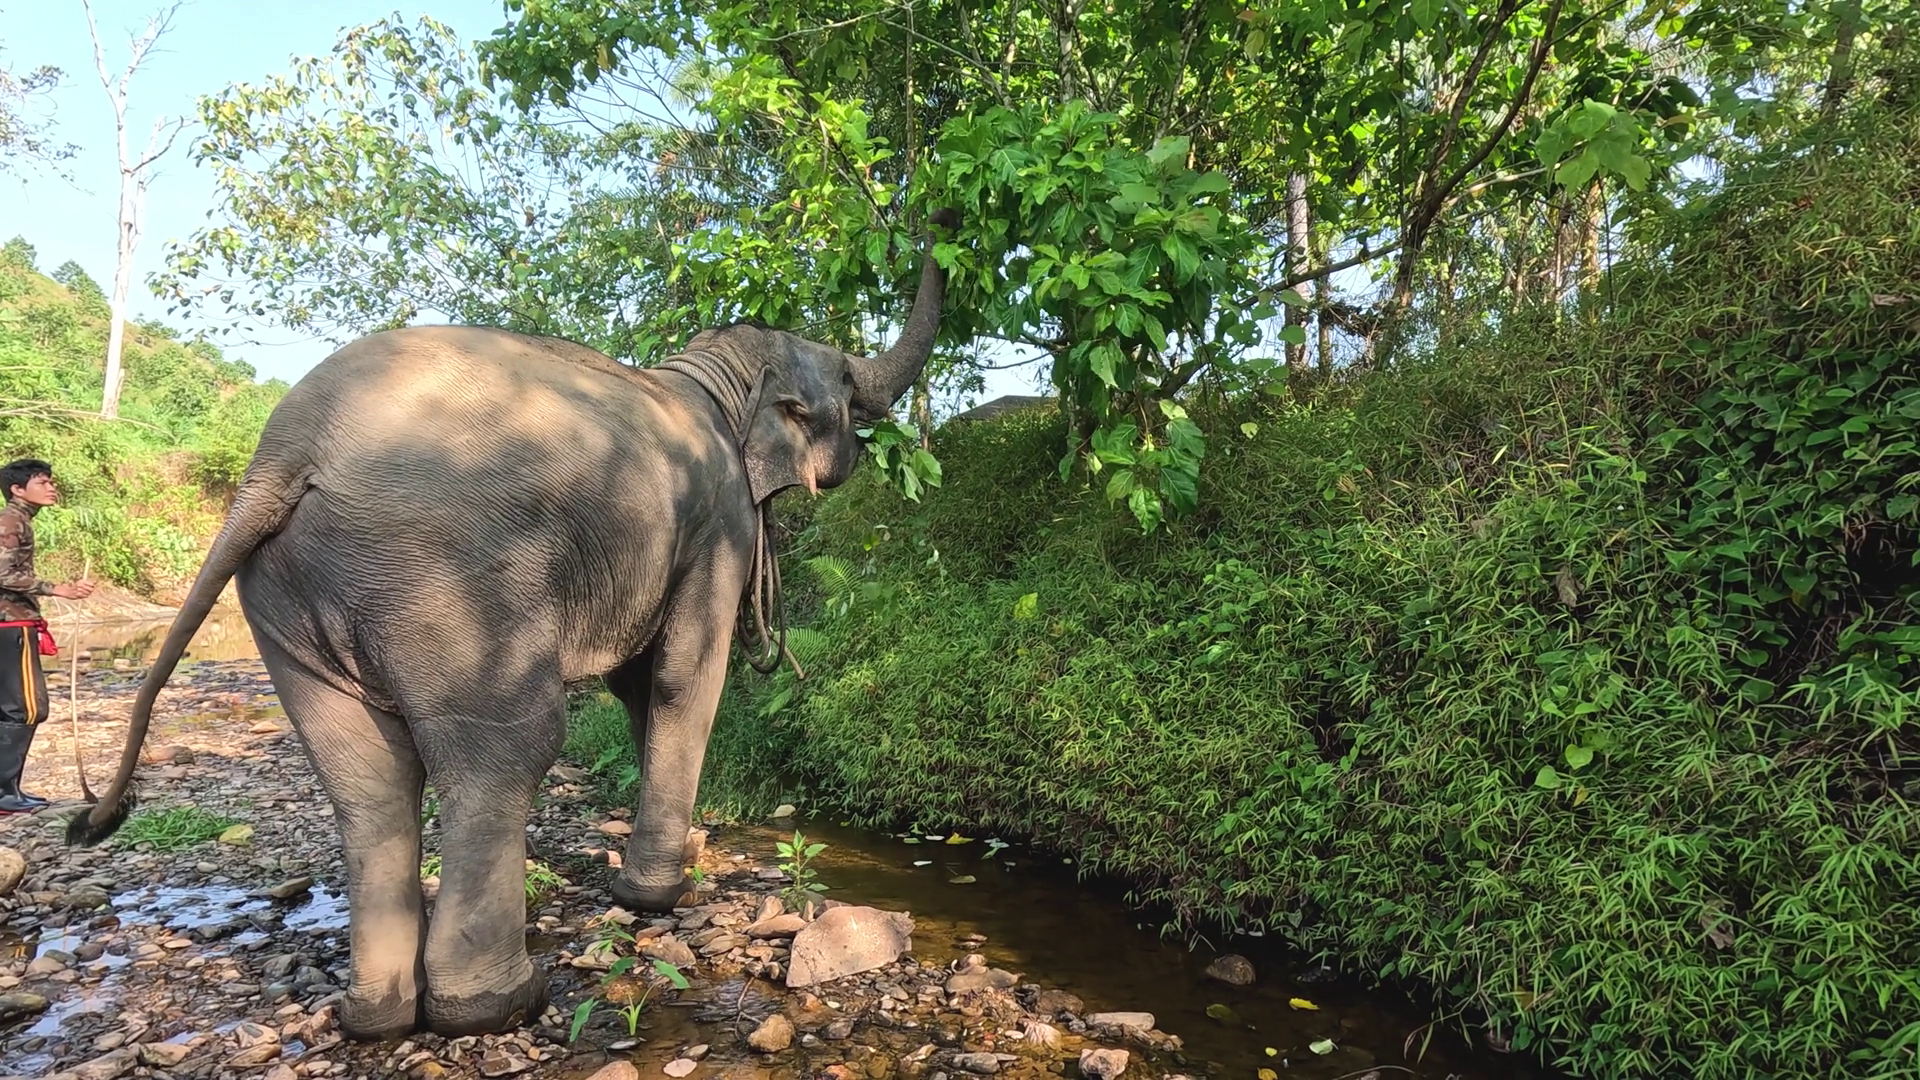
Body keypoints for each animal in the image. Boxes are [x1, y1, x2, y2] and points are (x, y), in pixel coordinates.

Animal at [66, 208, 961, 1040]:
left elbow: (637, 687)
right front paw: (657, 894)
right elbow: (681, 678)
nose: (940, 218)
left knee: (366, 781)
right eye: (845, 383)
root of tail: (283, 454)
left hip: (290, 597)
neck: (715, 374)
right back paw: (498, 1005)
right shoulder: (719, 526)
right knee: (508, 749)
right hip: (445, 580)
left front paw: (683, 859)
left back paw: (378, 1017)